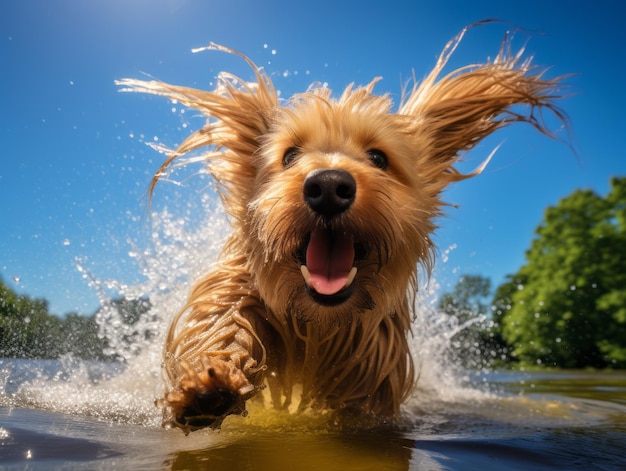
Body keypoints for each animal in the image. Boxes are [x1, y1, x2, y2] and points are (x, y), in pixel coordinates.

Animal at [114, 25, 564, 434]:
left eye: (379, 158)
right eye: (289, 156)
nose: (328, 185)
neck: (316, 326)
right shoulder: (240, 291)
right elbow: (226, 325)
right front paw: (209, 386)